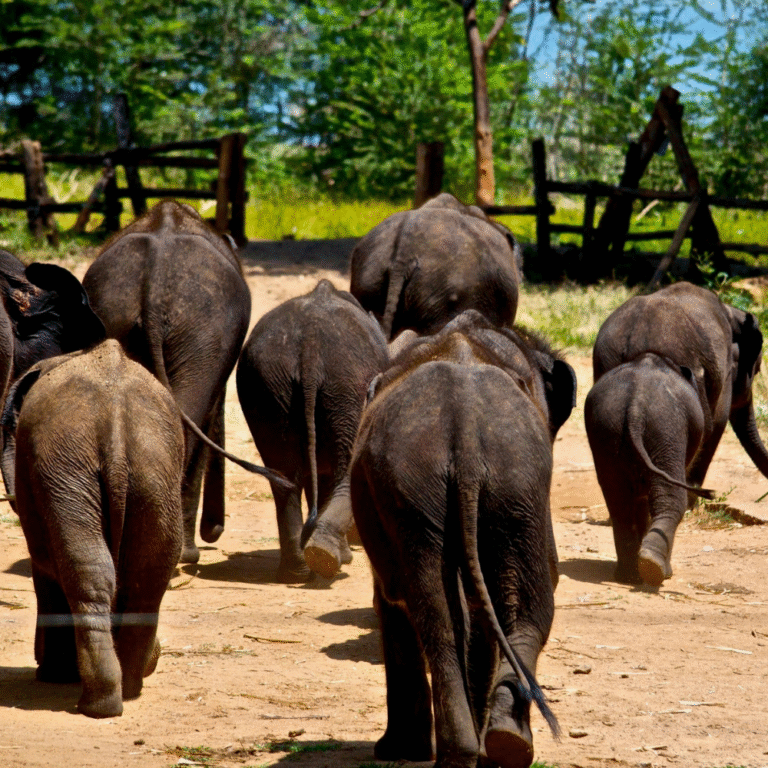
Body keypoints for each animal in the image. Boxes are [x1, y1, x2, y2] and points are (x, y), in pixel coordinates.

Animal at [0, 340, 184, 718]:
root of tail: (114, 424)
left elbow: (45, 568)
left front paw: (52, 675)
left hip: (70, 471)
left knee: (87, 573)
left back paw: (98, 703)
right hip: (153, 474)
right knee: (145, 577)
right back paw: (127, 689)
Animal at [82, 200, 252, 564]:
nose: (214, 531)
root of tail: (154, 282)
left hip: (120, 315)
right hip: (202, 333)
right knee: (188, 426)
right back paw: (180, 556)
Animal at [236, 279, 389, 582]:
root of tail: (309, 348)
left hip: (270, 384)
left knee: (284, 476)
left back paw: (297, 570)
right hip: (346, 385)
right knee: (341, 471)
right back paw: (324, 560)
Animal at [348, 310, 575, 768]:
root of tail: (465, 428)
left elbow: (391, 600)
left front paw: (396, 751)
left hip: (436, 487)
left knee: (444, 612)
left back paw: (472, 750)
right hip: (506, 479)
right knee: (516, 608)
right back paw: (501, 745)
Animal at [585, 353, 715, 585]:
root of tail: (635, 406)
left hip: (605, 429)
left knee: (618, 500)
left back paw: (629, 575)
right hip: (666, 429)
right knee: (670, 498)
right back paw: (654, 569)